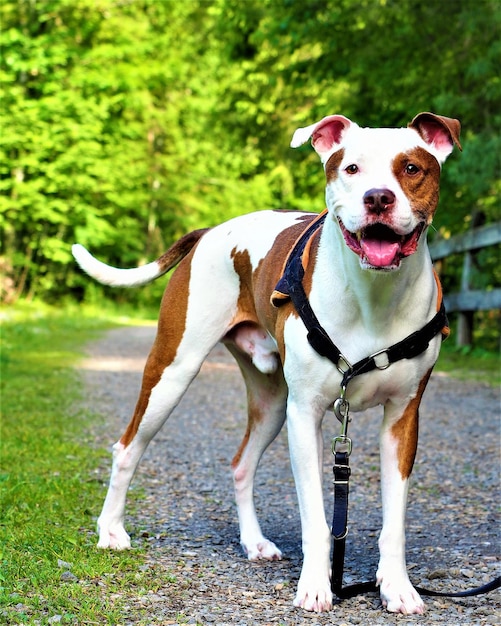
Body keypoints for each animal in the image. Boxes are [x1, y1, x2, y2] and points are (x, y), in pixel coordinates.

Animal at [71, 111, 460, 608]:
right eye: (350, 168)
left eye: (411, 168)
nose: (378, 197)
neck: (373, 295)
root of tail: (210, 232)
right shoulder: (306, 414)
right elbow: (316, 517)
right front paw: (316, 585)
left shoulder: (403, 419)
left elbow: (394, 522)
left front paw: (397, 587)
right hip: (172, 373)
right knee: (127, 448)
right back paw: (111, 531)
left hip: (272, 403)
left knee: (241, 464)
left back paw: (254, 542)